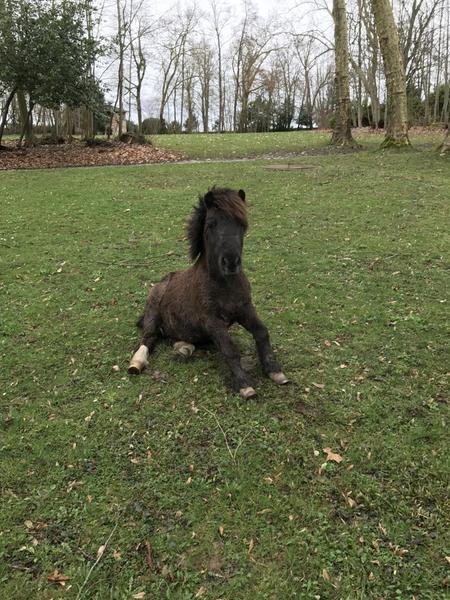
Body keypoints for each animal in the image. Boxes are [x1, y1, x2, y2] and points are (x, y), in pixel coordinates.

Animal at [126, 188, 288, 398]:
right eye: (211, 224)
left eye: (242, 224)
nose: (231, 262)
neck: (225, 285)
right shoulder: (211, 321)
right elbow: (229, 349)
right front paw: (245, 385)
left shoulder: (245, 309)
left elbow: (262, 332)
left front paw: (275, 371)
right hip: (153, 312)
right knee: (149, 338)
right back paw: (136, 363)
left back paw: (183, 349)